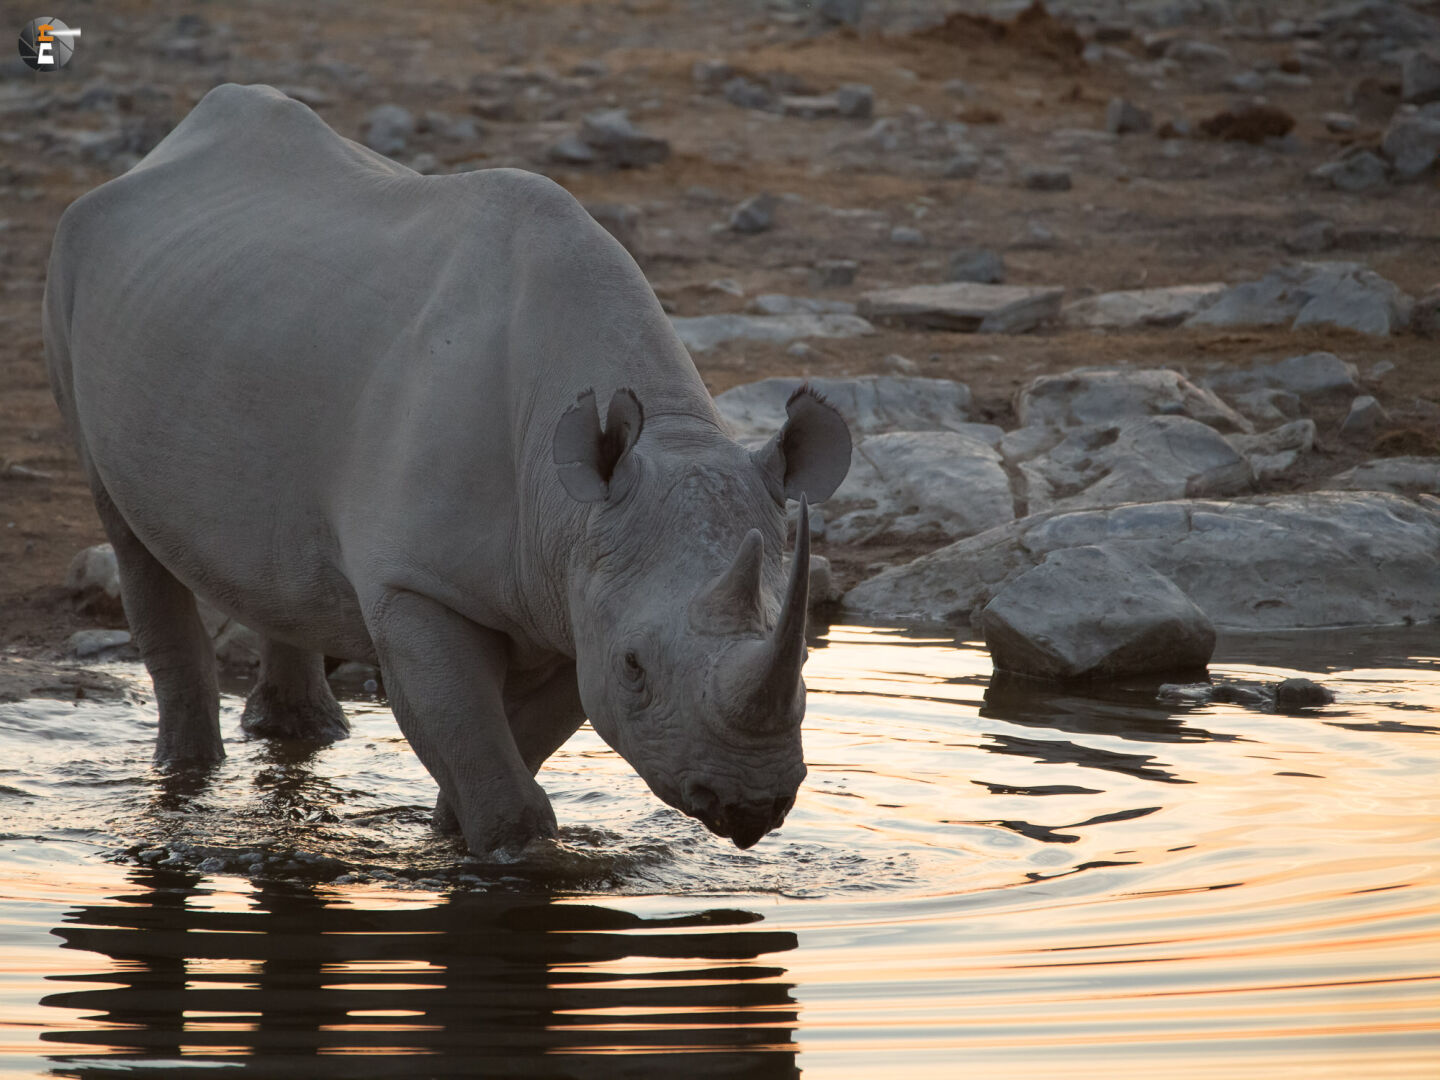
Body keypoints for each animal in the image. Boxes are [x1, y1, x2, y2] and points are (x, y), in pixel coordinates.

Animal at [44, 84, 851, 854]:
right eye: (634, 666)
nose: (750, 806)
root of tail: (163, 148)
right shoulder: (423, 584)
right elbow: (485, 760)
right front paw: (507, 857)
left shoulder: (573, 587)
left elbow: (507, 750)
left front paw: (451, 833)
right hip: (73, 271)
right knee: (129, 533)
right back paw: (185, 777)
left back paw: (300, 736)